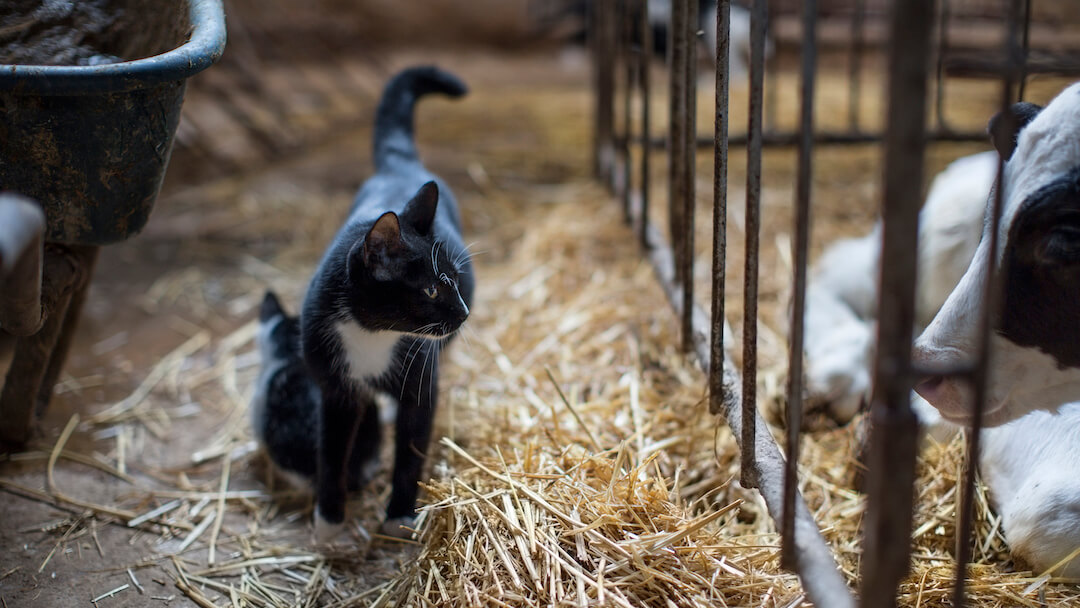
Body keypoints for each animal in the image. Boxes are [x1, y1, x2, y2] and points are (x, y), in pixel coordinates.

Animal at [298, 66, 470, 542]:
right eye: (430, 291)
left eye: (454, 281)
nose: (463, 312)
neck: (373, 335)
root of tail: (399, 166)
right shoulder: (334, 384)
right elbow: (331, 452)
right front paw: (329, 519)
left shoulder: (421, 380)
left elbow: (411, 449)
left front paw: (399, 516)